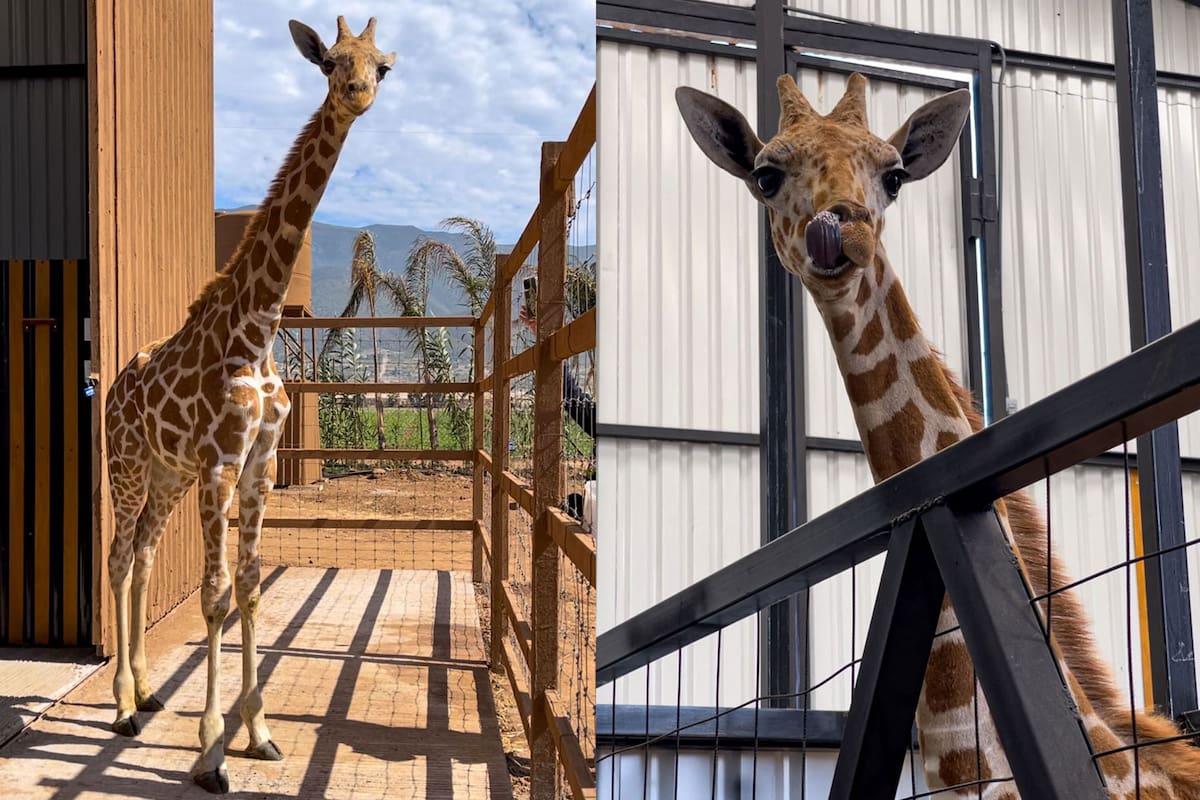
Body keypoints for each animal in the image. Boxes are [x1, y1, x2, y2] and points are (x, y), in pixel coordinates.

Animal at [102, 16, 395, 794]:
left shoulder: (258, 464)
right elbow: (213, 595)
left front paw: (258, 734)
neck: (258, 328)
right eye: (329, 59)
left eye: (383, 65)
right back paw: (121, 705)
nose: (357, 93)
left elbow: (253, 589)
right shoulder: (220, 464)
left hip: (166, 476)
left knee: (145, 551)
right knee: (118, 555)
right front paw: (210, 753)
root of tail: (113, 385)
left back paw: (148, 690)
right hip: (127, 463)